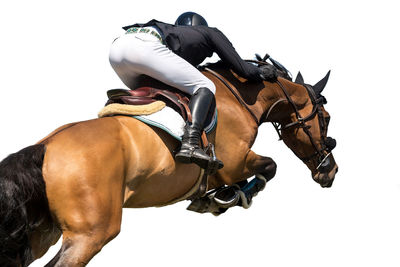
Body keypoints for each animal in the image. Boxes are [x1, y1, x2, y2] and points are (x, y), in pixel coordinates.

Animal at [0, 62, 338, 266]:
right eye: (326, 118)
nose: (330, 171)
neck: (240, 98)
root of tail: (44, 147)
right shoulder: (234, 162)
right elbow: (269, 167)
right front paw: (229, 197)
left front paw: (216, 197)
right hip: (90, 235)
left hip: (42, 235)